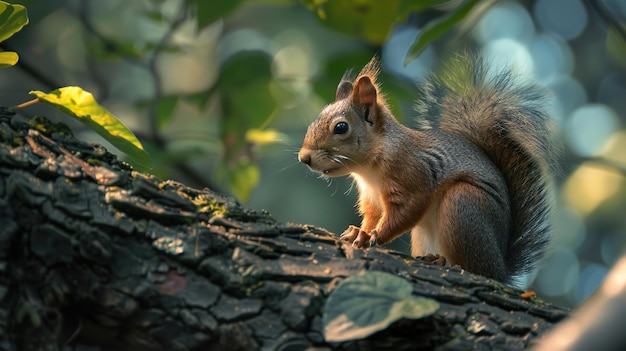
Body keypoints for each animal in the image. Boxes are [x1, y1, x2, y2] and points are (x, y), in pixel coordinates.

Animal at [296, 54, 556, 286]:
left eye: (341, 127)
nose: (303, 158)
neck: (370, 167)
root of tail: (501, 265)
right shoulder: (371, 197)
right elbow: (372, 215)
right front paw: (359, 231)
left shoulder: (412, 174)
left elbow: (407, 210)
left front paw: (372, 236)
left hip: (463, 204)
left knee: (477, 268)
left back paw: (447, 262)